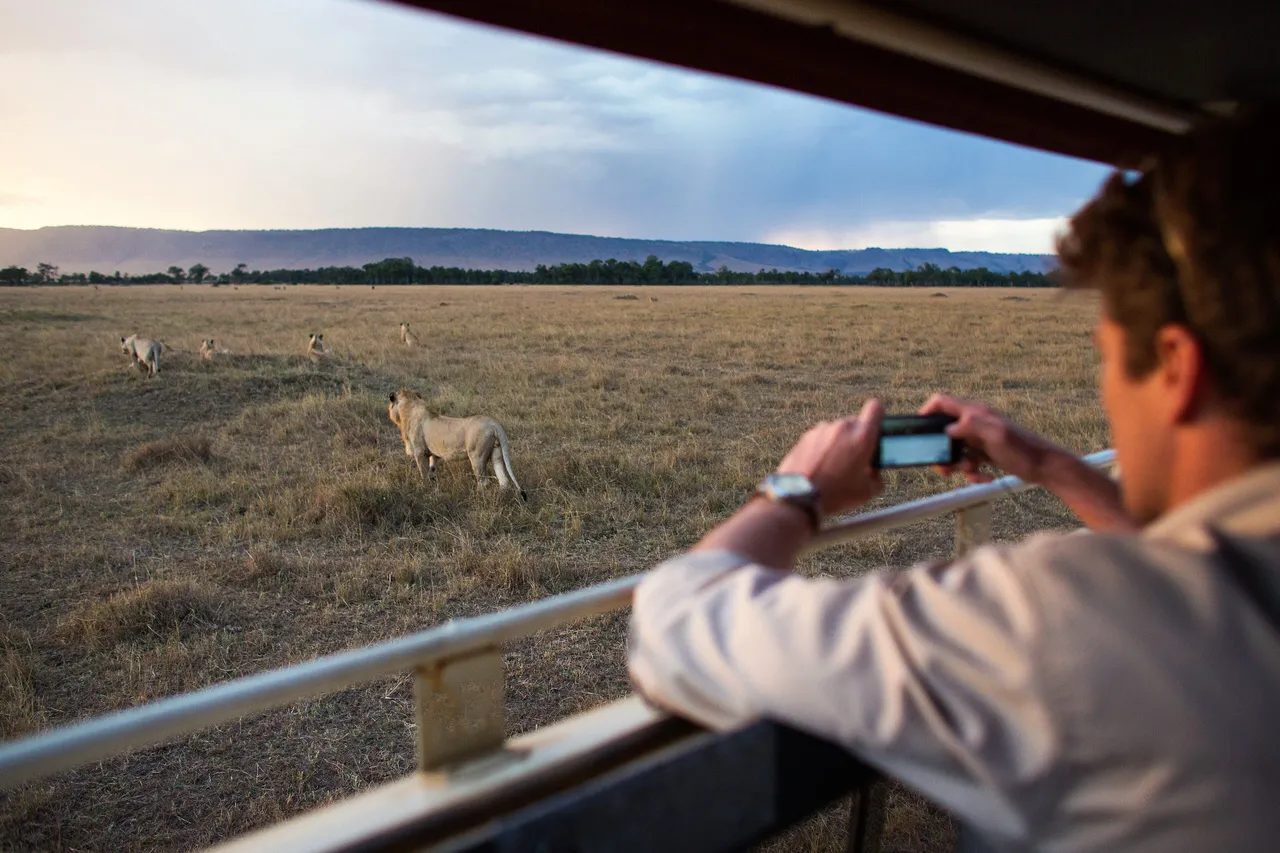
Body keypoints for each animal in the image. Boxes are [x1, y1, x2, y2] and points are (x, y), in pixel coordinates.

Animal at [388, 388, 527, 501]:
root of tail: (494, 423)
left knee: (484, 481)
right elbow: (432, 470)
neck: (411, 407)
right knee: (504, 481)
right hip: (496, 452)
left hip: (476, 456)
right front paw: (434, 485)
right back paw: (502, 497)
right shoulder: (433, 453)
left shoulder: (420, 452)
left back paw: (476, 497)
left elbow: (424, 473)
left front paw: (424, 489)